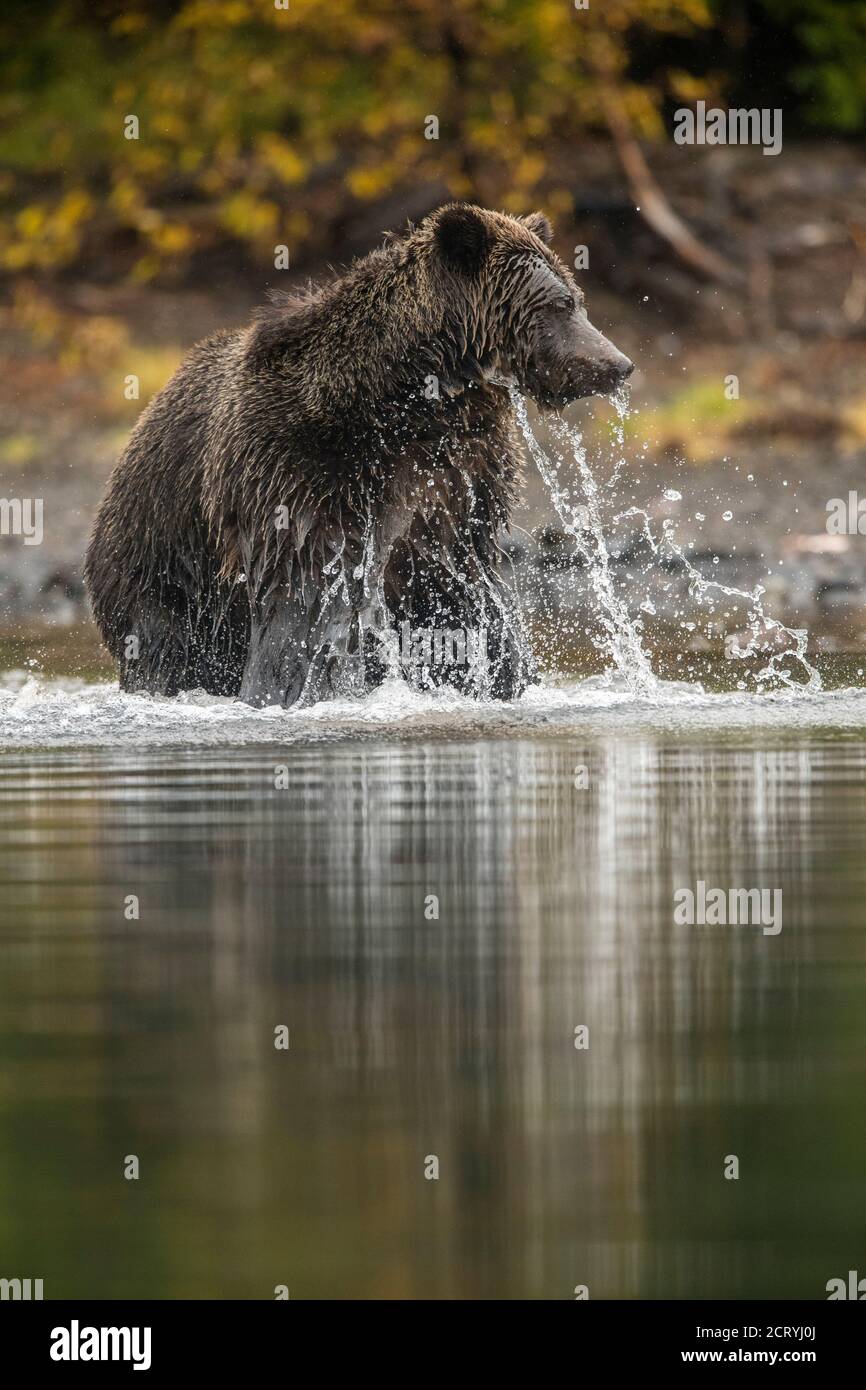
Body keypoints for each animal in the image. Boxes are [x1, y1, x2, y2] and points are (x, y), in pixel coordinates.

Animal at [86, 202, 631, 706]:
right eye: (561, 303)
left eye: (577, 299)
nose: (618, 364)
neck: (408, 401)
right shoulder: (299, 470)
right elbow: (306, 606)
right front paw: (292, 689)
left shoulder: (458, 480)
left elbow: (466, 594)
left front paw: (504, 676)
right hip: (163, 566)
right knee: (166, 646)